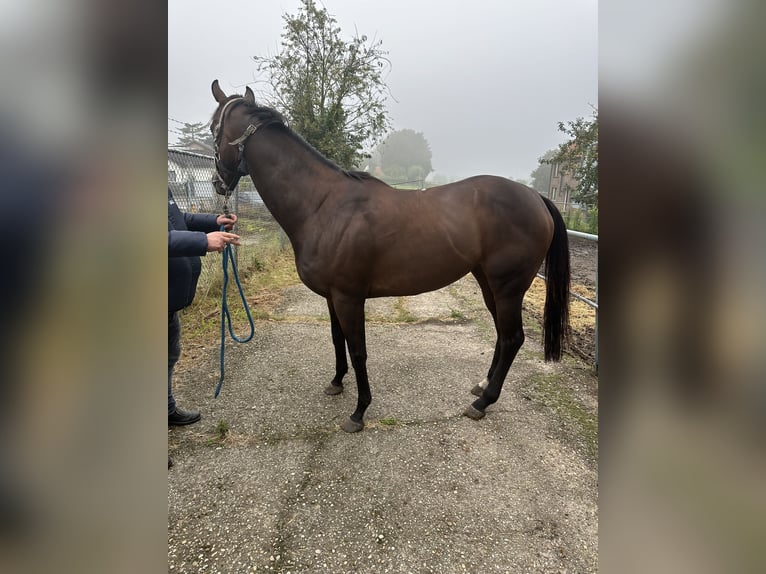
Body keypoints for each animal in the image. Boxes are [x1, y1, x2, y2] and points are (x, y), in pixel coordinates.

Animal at [210, 80, 568, 432]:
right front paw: (337, 382)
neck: (323, 205)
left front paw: (359, 412)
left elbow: (358, 350)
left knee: (513, 338)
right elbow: (337, 338)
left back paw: (483, 402)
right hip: (488, 283)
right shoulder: (332, 297)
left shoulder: (349, 297)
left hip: (508, 287)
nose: (216, 183)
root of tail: (536, 197)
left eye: (214, 129)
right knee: (502, 335)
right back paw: (482, 386)